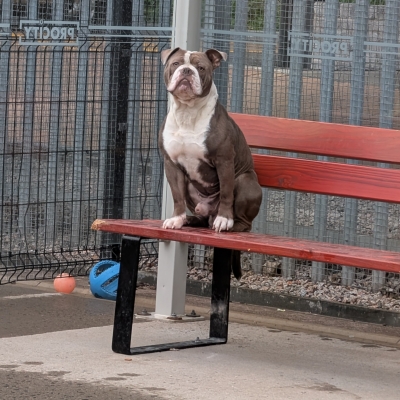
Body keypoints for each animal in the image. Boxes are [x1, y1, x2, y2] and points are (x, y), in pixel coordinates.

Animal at [159, 47, 262, 278]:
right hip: (192, 188)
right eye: (176, 64)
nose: (186, 71)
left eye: (201, 67)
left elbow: (226, 193)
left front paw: (224, 219)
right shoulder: (171, 164)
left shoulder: (224, 161)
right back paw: (189, 220)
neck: (187, 112)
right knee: (200, 217)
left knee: (244, 222)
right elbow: (177, 196)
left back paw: (227, 224)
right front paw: (177, 218)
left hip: (245, 180)